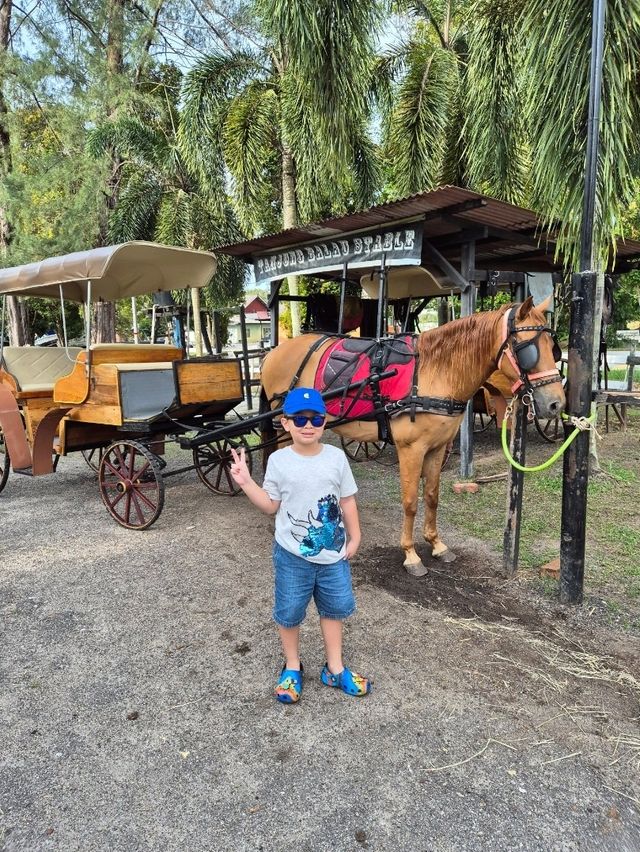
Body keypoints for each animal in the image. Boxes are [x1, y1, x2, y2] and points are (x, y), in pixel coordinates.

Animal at [260, 296, 564, 576]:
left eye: (553, 347)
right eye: (526, 348)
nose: (555, 404)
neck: (437, 371)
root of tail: (274, 352)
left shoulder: (437, 448)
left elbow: (431, 496)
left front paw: (436, 544)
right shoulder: (411, 449)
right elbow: (410, 503)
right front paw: (410, 554)